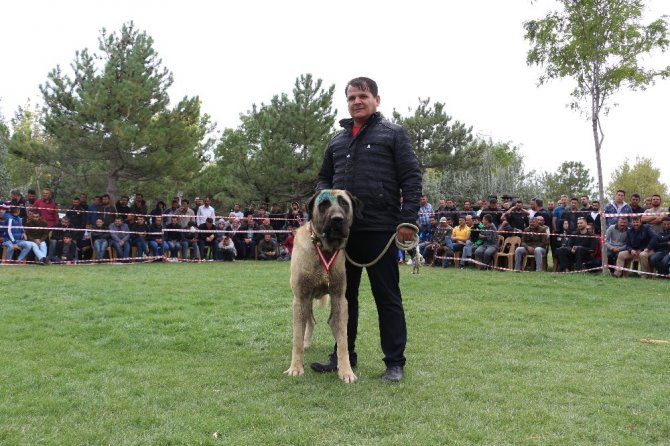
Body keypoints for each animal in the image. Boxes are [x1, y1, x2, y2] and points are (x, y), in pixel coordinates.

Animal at [286, 189, 364, 384]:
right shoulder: (300, 298)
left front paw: (346, 371)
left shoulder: (339, 299)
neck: (324, 248)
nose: (337, 219)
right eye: (323, 205)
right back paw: (305, 344)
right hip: (305, 301)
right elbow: (297, 337)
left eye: (344, 203)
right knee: (309, 322)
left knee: (325, 322)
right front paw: (295, 368)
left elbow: (343, 341)